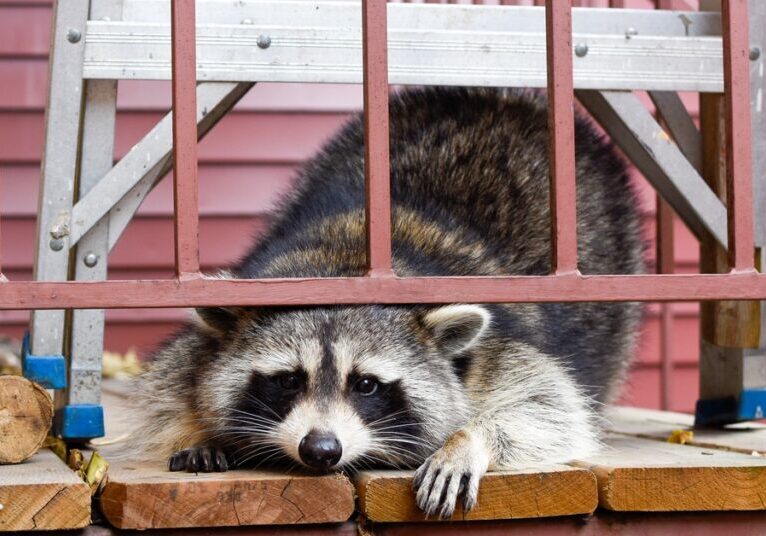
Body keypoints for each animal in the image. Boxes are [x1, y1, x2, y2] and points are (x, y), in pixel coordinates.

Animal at [136, 87, 643, 518]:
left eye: (366, 384)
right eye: (287, 380)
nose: (321, 450)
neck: (339, 270)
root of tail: (501, 95)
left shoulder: (494, 348)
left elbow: (550, 404)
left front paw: (469, 439)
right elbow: (170, 385)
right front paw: (198, 427)